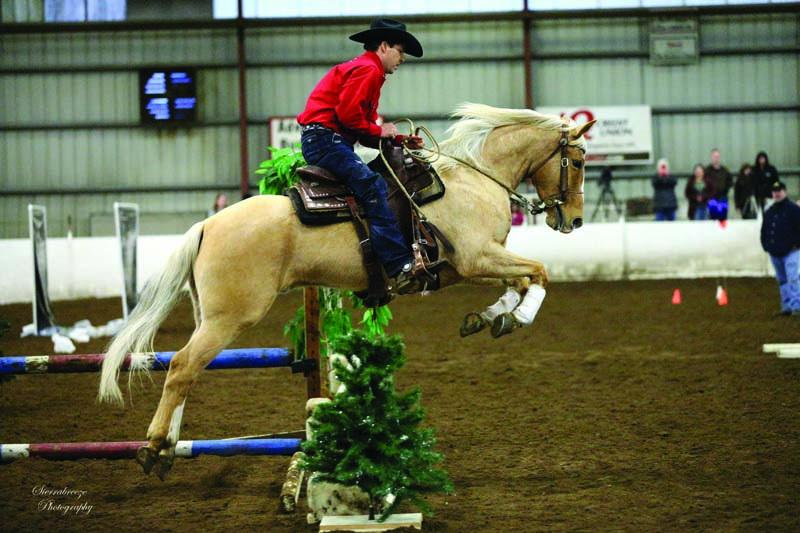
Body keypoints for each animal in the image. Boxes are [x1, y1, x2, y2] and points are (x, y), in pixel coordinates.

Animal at [98, 102, 595, 479]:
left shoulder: (464, 267)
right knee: (182, 366)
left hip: (210, 316)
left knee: (187, 372)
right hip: (230, 318)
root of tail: (206, 225)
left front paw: (492, 317)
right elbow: (540, 273)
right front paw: (518, 316)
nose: (573, 220)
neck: (474, 179)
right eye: (579, 161)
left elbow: (519, 279)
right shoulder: (476, 256)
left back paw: (168, 448)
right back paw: (154, 447)